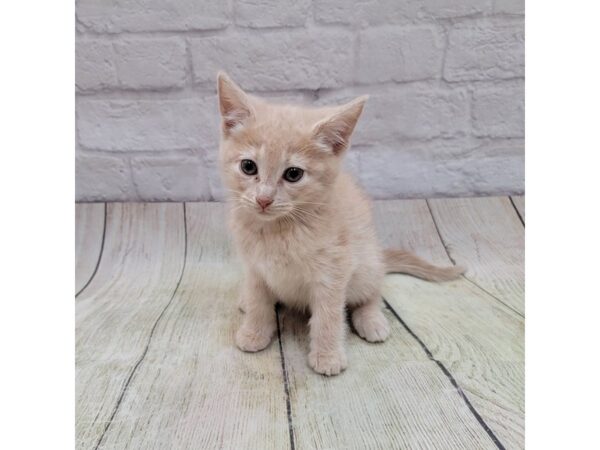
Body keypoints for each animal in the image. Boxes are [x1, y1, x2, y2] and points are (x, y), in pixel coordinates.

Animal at [217, 73, 464, 376]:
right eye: (249, 167)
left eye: (293, 174)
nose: (264, 199)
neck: (280, 229)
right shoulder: (255, 268)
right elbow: (258, 301)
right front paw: (254, 332)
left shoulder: (334, 271)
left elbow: (328, 316)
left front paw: (327, 355)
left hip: (366, 265)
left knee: (373, 292)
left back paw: (372, 320)